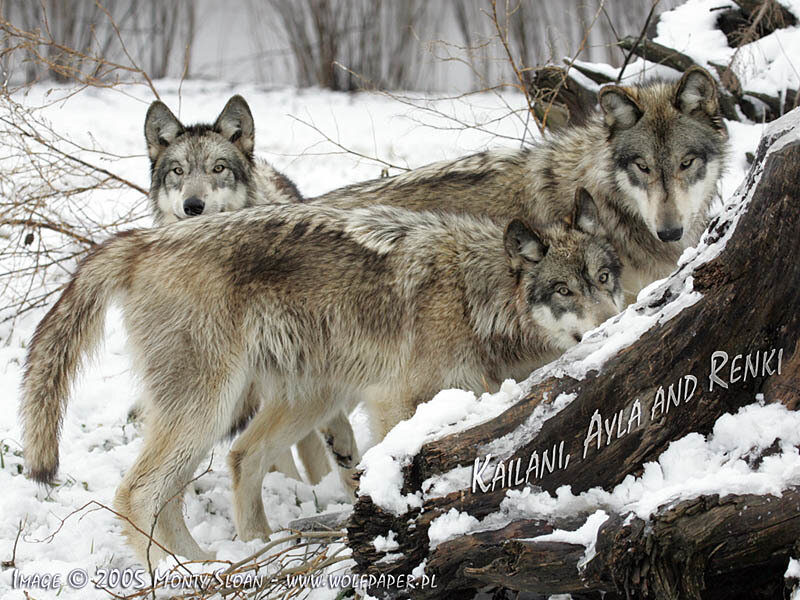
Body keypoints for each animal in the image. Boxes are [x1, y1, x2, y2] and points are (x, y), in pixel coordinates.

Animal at [21, 191, 622, 564]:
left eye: (604, 278)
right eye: (563, 290)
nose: (610, 321)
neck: (476, 295)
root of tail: (141, 242)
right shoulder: (391, 402)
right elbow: (391, 478)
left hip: (286, 401)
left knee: (235, 461)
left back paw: (237, 557)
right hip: (210, 408)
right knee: (138, 493)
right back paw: (180, 575)